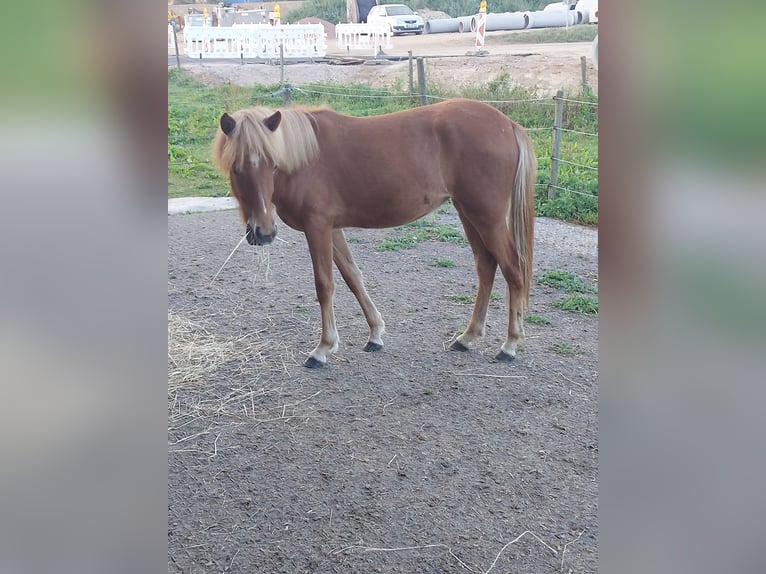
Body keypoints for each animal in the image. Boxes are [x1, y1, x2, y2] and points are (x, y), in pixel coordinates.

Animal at [212, 99, 536, 368]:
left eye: (273, 164)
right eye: (236, 168)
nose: (264, 233)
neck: (305, 158)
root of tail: (508, 125)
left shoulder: (317, 227)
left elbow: (325, 285)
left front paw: (323, 348)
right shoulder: (333, 229)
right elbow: (353, 278)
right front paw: (375, 334)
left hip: (487, 217)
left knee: (513, 270)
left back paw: (510, 345)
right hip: (468, 213)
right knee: (486, 266)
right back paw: (468, 337)